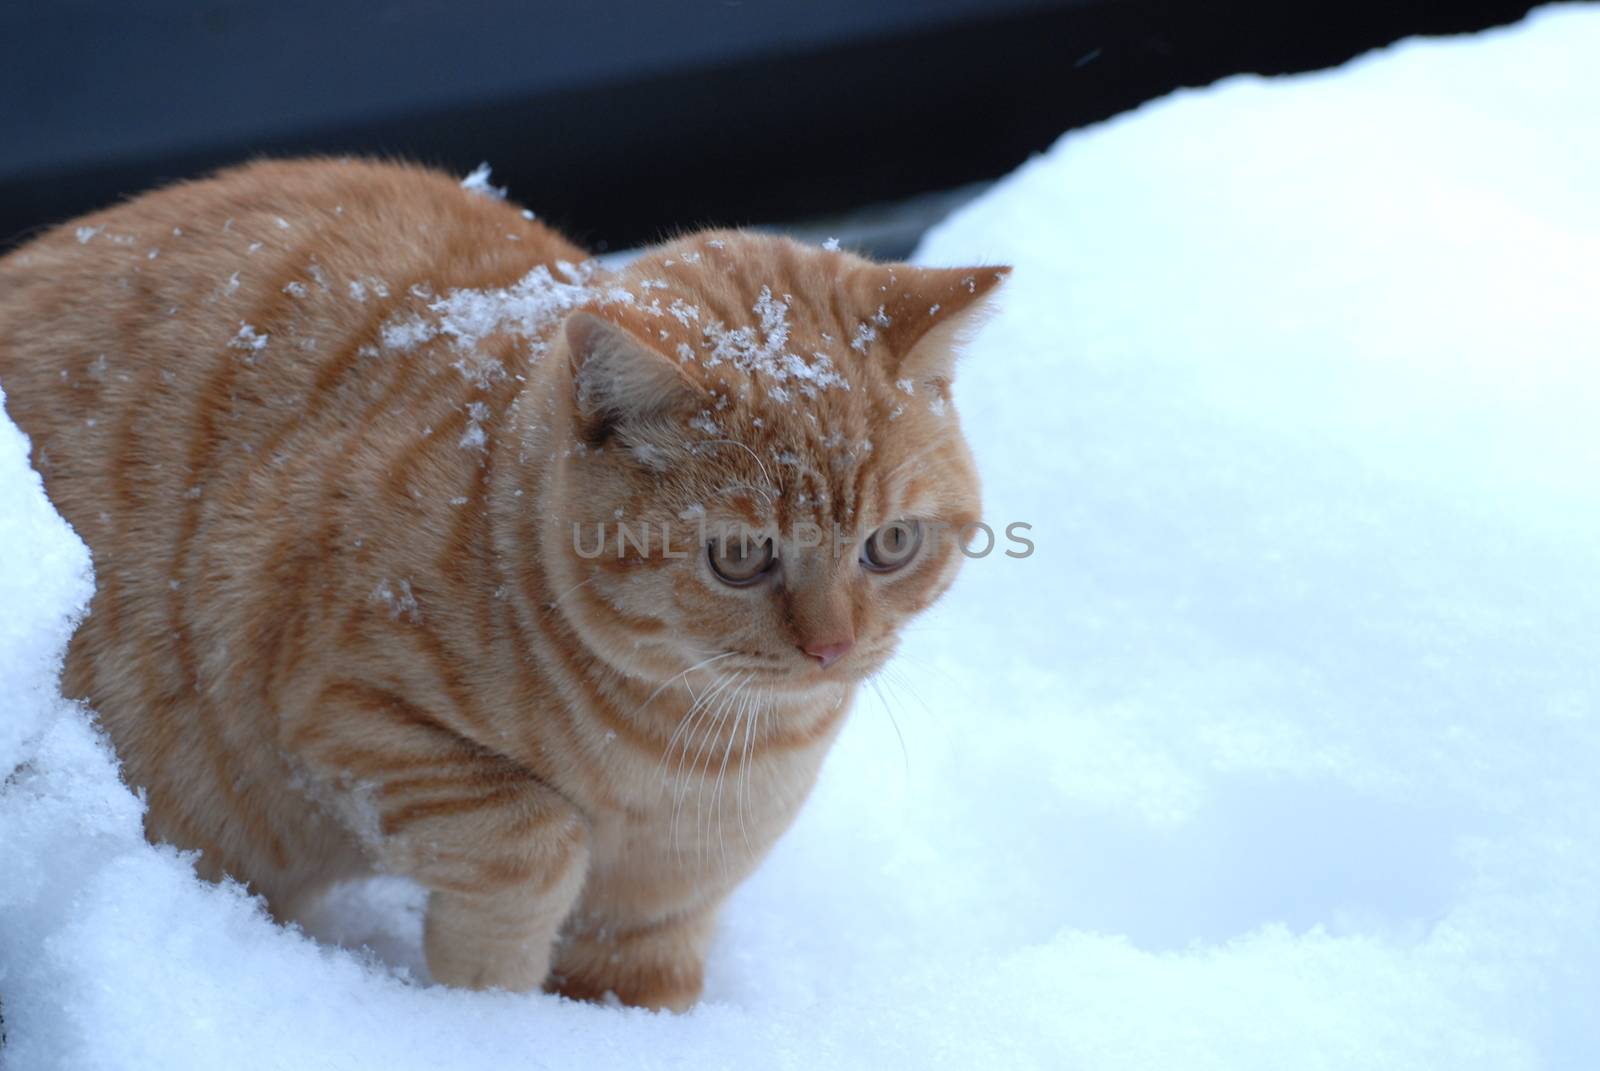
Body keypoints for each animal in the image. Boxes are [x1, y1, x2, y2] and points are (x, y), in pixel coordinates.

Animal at [0, 158, 998, 1011]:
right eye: (741, 558)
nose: (832, 646)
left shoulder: (662, 910)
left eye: (891, 544)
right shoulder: (339, 709)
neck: (680, 753)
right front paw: (494, 1013)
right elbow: (533, 838)